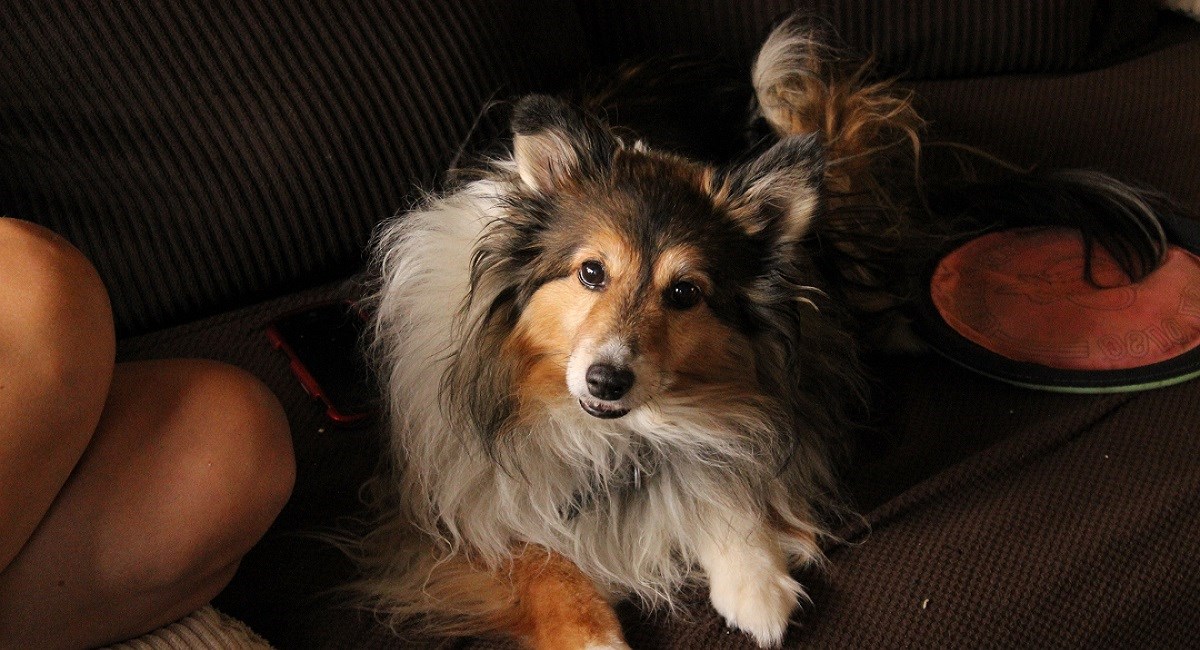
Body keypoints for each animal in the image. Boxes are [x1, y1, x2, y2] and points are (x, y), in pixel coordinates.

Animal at [350, 16, 1166, 650]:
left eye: (685, 293)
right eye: (590, 273)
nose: (607, 378)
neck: (617, 435)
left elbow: (735, 467)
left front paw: (756, 585)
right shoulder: (430, 511)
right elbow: (539, 559)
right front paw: (591, 634)